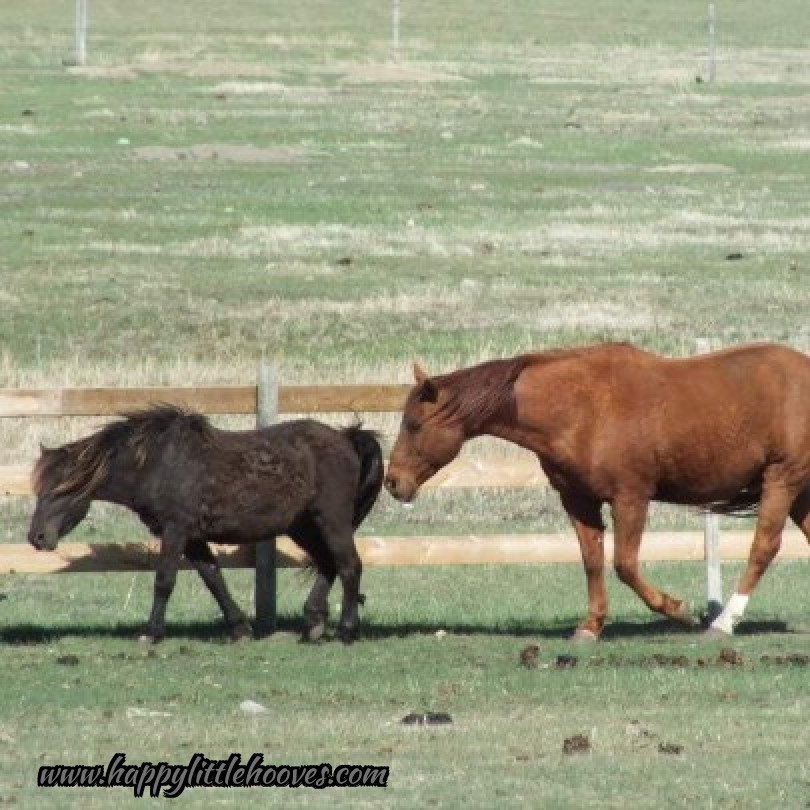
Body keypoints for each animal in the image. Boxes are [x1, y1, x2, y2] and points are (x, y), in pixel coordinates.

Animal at [28, 405, 383, 643]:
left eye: (60, 489)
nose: (36, 537)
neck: (158, 463)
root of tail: (346, 438)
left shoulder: (175, 529)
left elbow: (164, 580)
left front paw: (151, 633)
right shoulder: (192, 537)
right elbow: (213, 578)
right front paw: (240, 628)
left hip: (331, 520)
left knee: (349, 565)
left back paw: (347, 630)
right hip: (303, 526)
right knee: (328, 563)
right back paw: (313, 622)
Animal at [384, 342, 810, 640]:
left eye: (414, 425)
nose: (393, 482)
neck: (581, 408)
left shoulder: (630, 498)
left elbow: (624, 564)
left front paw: (678, 609)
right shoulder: (578, 501)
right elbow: (592, 561)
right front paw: (590, 626)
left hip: (782, 481)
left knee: (763, 547)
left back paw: (724, 622)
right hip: (798, 491)